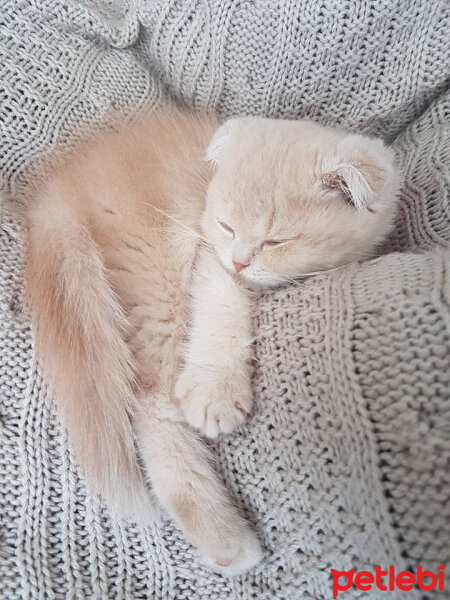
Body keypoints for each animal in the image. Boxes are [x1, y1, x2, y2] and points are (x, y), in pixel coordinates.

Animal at [22, 109, 400, 576]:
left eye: (276, 240)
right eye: (226, 225)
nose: (240, 260)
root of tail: (57, 196)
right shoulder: (207, 252)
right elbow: (223, 301)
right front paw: (214, 390)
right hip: (154, 267)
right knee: (149, 400)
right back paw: (222, 534)